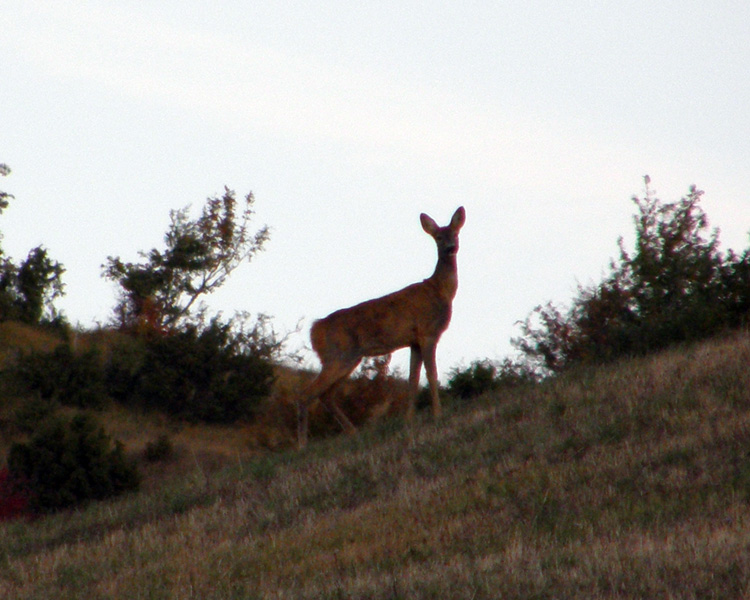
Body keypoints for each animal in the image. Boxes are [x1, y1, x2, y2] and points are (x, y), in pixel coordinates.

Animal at [298, 206, 464, 446]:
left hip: (346, 358)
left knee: (326, 394)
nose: (451, 248)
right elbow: (432, 375)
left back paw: (353, 432)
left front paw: (408, 419)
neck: (441, 291)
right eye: (438, 238)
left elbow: (413, 379)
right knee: (307, 393)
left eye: (455, 233)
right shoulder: (428, 332)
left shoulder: (414, 340)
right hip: (339, 354)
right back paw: (302, 445)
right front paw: (438, 414)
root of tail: (315, 329)